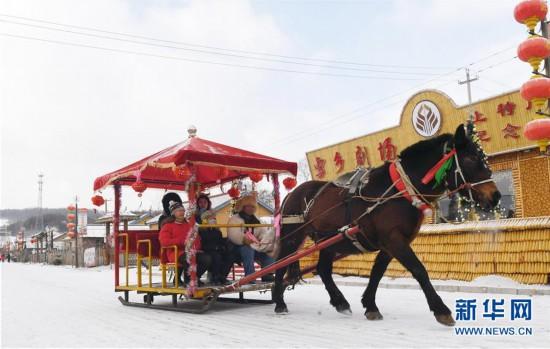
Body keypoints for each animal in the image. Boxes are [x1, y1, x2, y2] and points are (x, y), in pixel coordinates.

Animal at [274, 123, 502, 326]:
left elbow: (377, 272)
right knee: (280, 263)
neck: (399, 190)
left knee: (323, 269)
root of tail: (292, 193)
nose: (496, 196)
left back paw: (340, 302)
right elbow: (419, 270)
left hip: (328, 240)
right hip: (292, 235)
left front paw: (370, 305)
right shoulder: (394, 239)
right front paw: (441, 310)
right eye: (471, 158)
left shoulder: (390, 243)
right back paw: (279, 302)